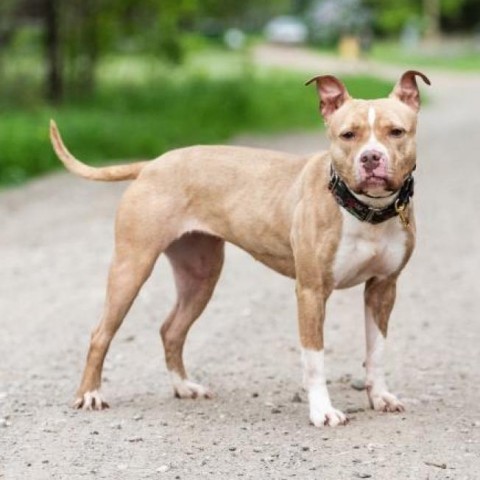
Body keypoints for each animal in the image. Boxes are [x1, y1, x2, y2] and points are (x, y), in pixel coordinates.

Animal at [50, 69, 430, 426]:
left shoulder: (382, 288)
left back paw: (183, 387)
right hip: (132, 266)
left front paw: (379, 396)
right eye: (348, 135)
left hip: (200, 275)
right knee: (101, 332)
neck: (366, 212)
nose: (371, 158)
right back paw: (90, 394)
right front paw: (322, 411)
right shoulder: (311, 291)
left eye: (396, 132)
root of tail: (153, 164)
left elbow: (376, 349)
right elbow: (314, 358)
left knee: (171, 330)